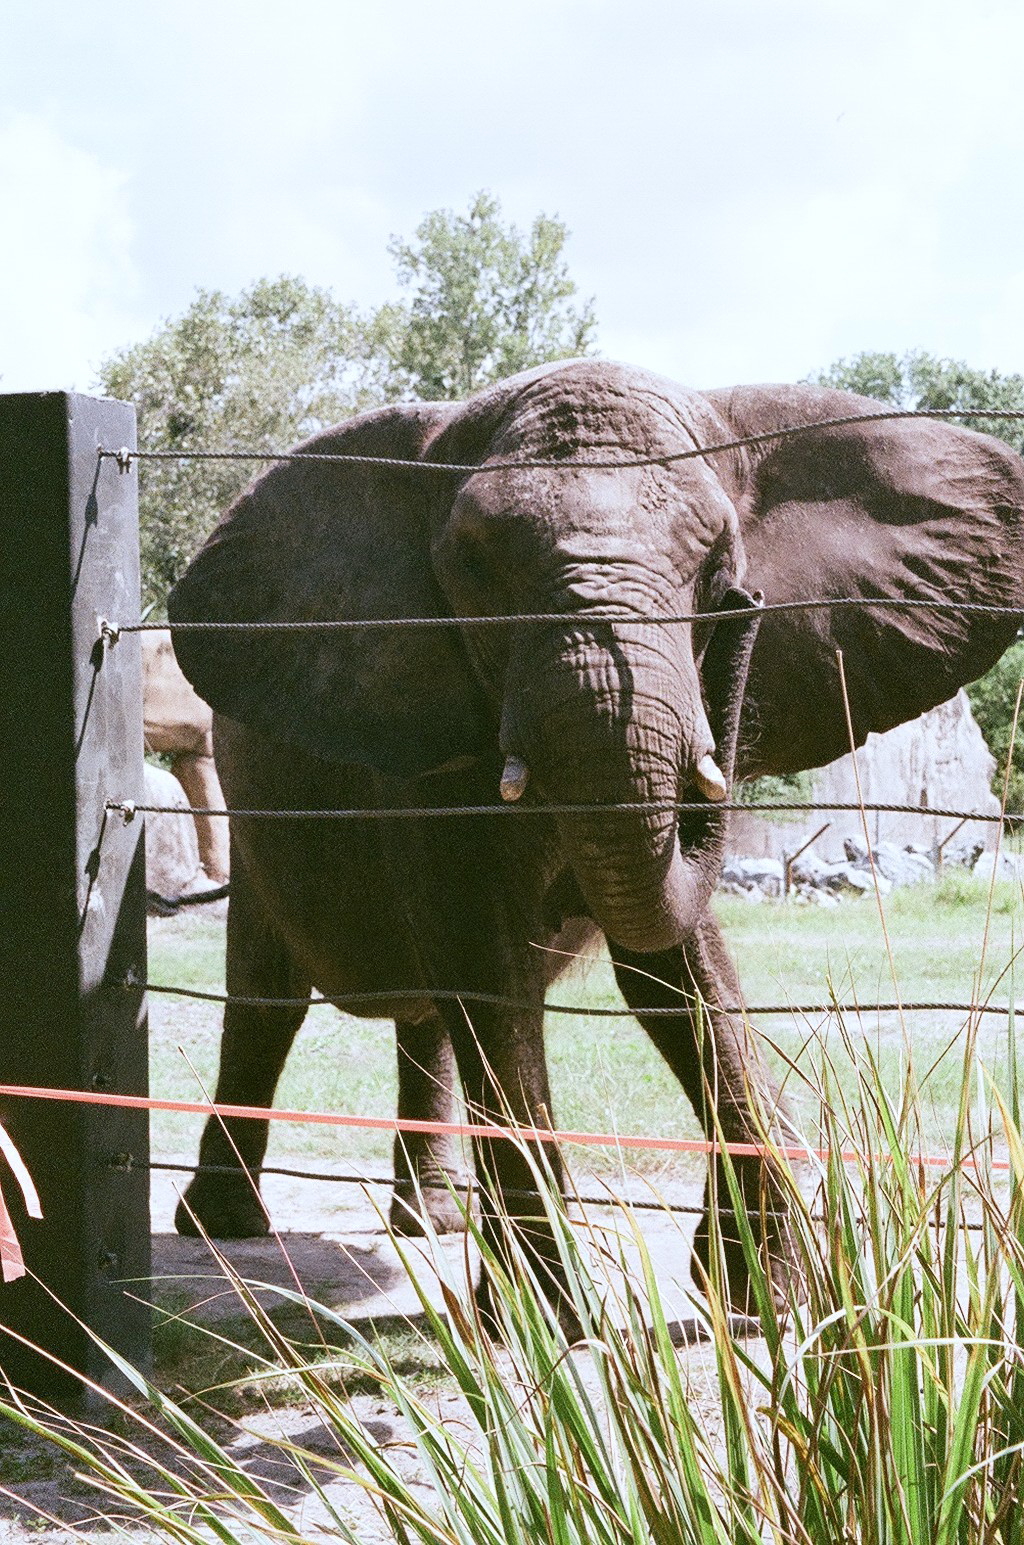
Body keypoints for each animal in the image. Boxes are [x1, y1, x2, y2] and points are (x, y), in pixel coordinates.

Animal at [167, 360, 1024, 1317]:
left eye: (717, 565)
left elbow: (673, 971)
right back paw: (222, 1224)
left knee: (419, 1013)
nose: (747, 607)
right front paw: (549, 1317)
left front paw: (767, 1296)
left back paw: (433, 1218)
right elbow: (490, 968)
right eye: (476, 570)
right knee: (267, 994)